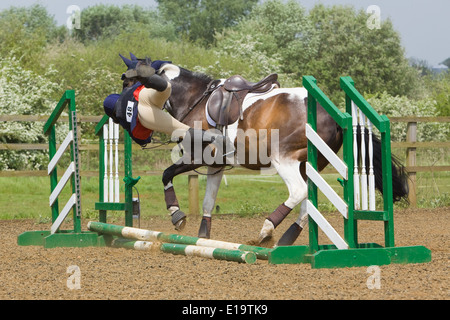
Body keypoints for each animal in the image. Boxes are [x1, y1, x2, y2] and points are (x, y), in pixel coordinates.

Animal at [125, 60, 410, 245]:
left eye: (131, 86)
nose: (129, 121)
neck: (194, 99)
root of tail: (332, 114)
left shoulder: (196, 157)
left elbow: (166, 174)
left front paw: (177, 216)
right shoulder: (215, 166)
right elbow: (207, 202)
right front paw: (203, 237)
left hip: (284, 159)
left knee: (298, 192)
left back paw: (267, 230)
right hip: (309, 165)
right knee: (307, 200)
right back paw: (285, 239)